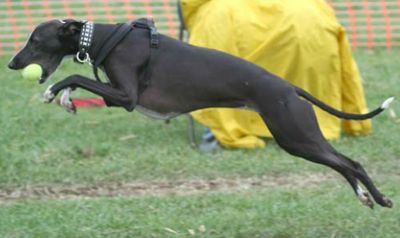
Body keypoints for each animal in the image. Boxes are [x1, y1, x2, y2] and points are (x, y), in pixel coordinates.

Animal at [7, 18, 396, 208]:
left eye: (34, 41)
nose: (12, 64)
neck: (104, 37)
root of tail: (290, 89)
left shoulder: (127, 96)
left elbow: (74, 76)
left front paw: (54, 92)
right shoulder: (118, 98)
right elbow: (78, 81)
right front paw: (66, 99)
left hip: (295, 136)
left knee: (352, 164)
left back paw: (379, 197)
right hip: (299, 138)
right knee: (344, 163)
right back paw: (365, 197)